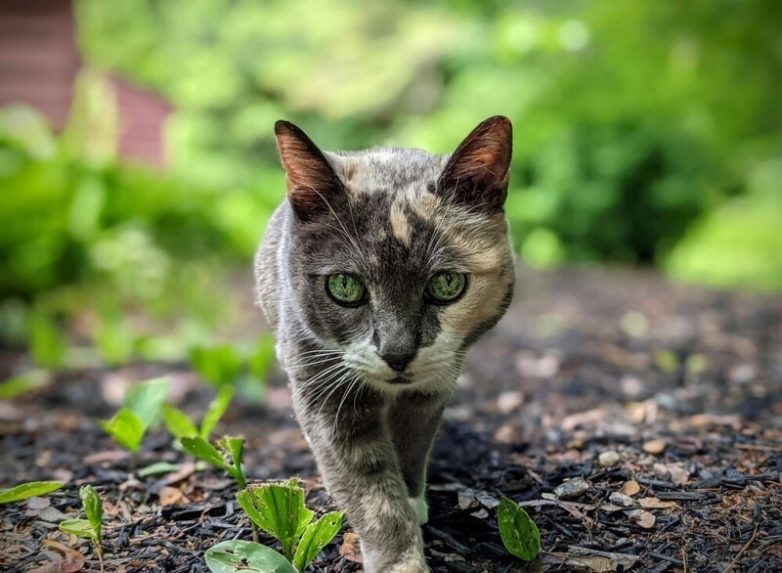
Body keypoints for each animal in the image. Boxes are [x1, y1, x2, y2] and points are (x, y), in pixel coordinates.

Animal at [254, 117, 516, 572]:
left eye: (447, 283)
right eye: (344, 286)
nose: (397, 352)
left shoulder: (434, 385)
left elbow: (413, 443)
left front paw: (413, 499)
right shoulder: (323, 390)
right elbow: (371, 491)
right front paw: (402, 559)